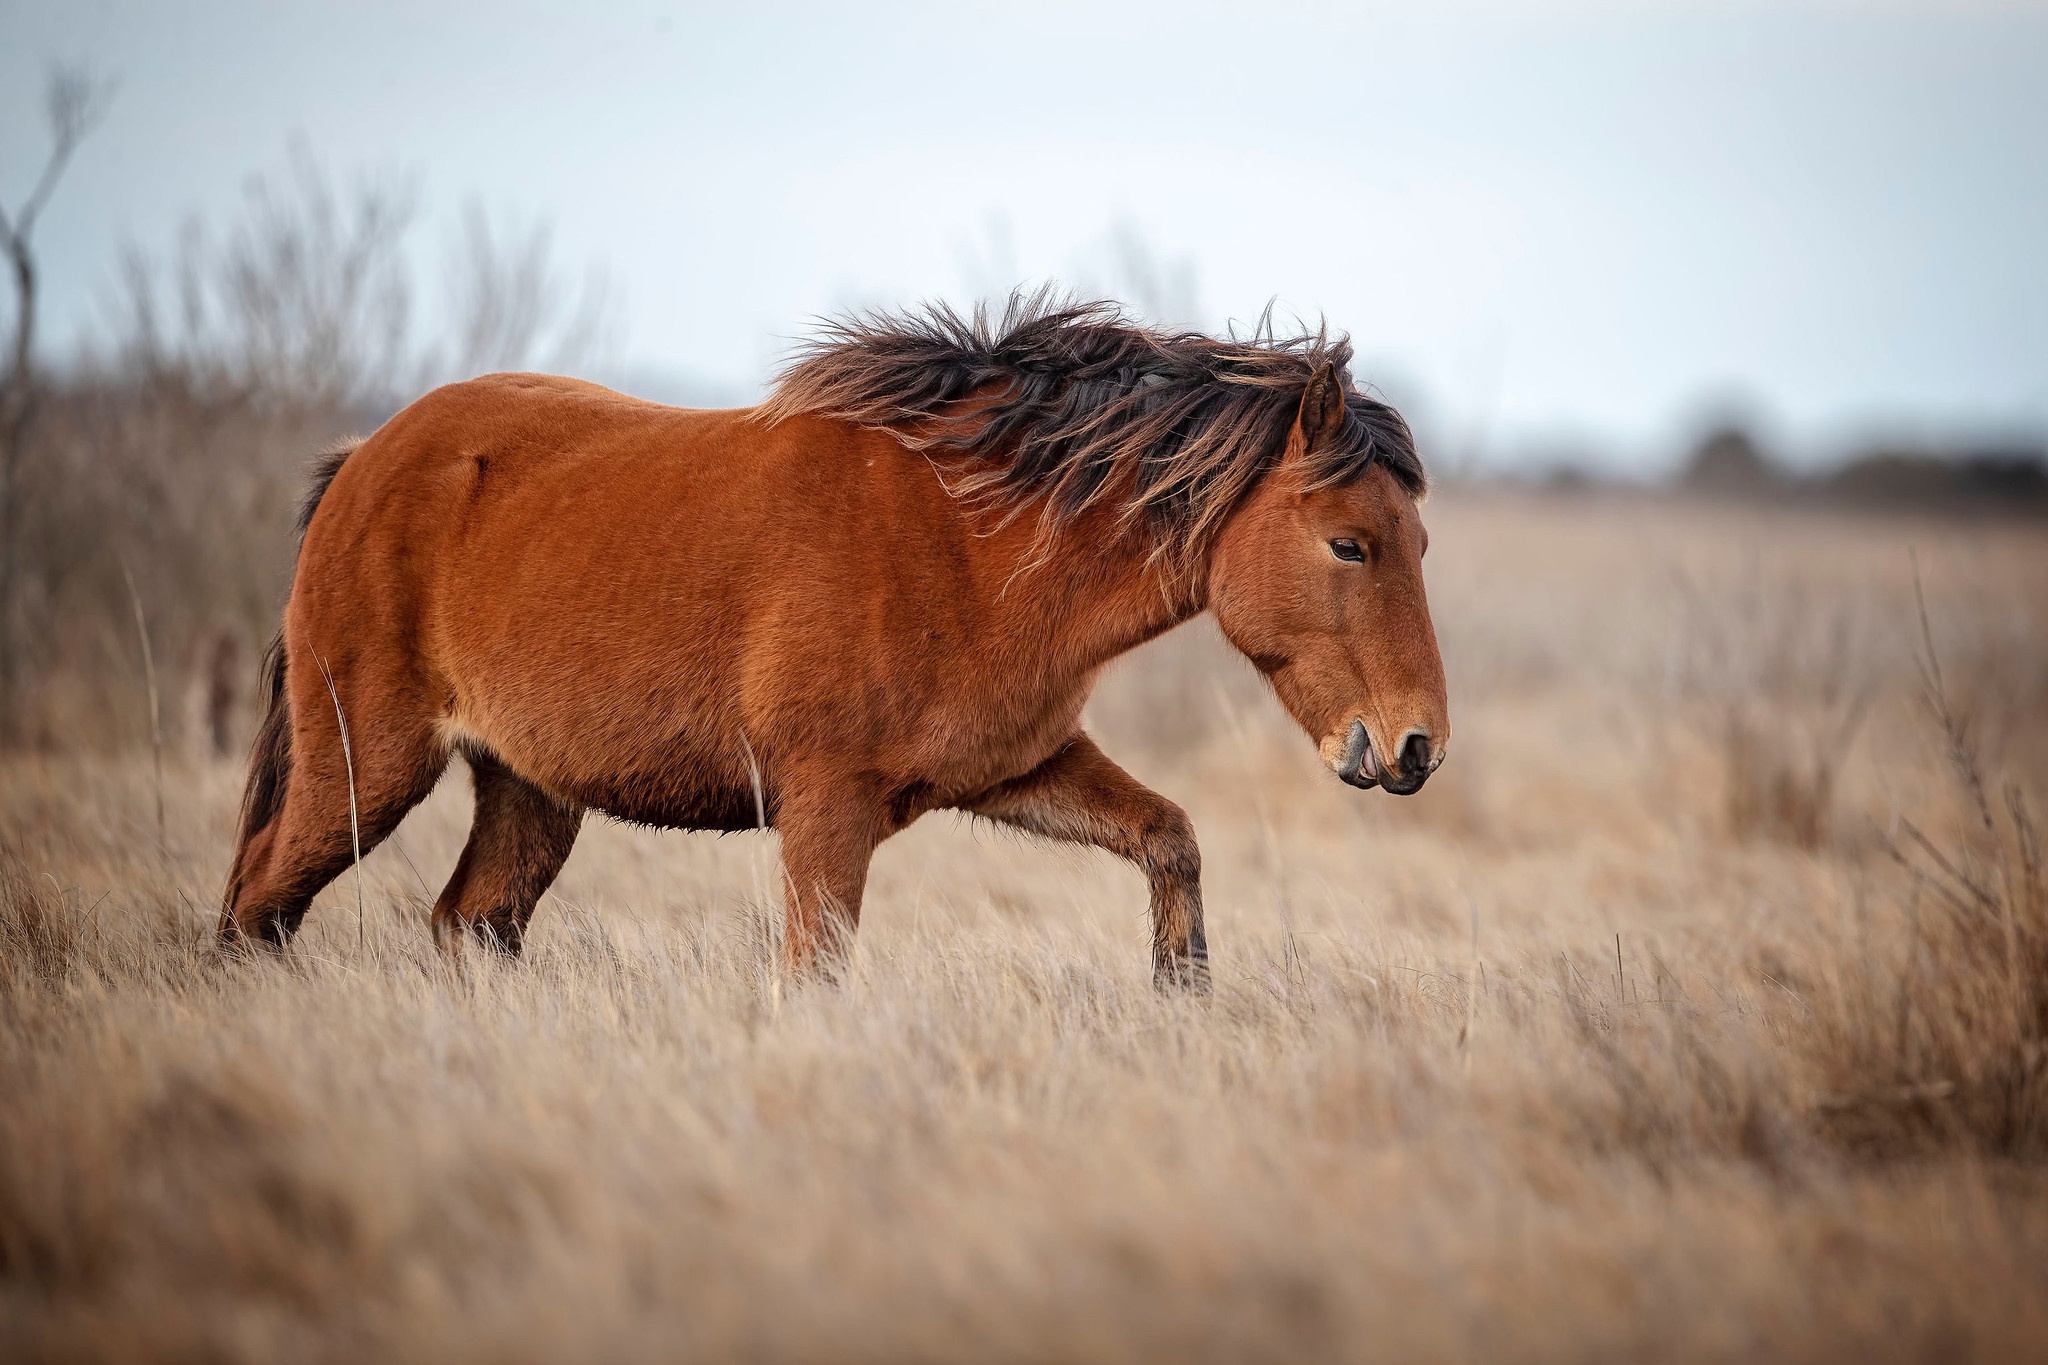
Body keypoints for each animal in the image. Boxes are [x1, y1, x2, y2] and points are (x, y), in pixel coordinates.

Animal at [220, 296, 1441, 982]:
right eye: (1348, 545)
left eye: (1415, 539)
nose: (1416, 746)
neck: (966, 539)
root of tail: (364, 462)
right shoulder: (825, 811)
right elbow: (817, 975)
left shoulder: (1017, 770)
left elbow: (1170, 840)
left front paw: (1181, 995)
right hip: (364, 770)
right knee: (256, 912)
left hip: (529, 791)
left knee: (466, 928)